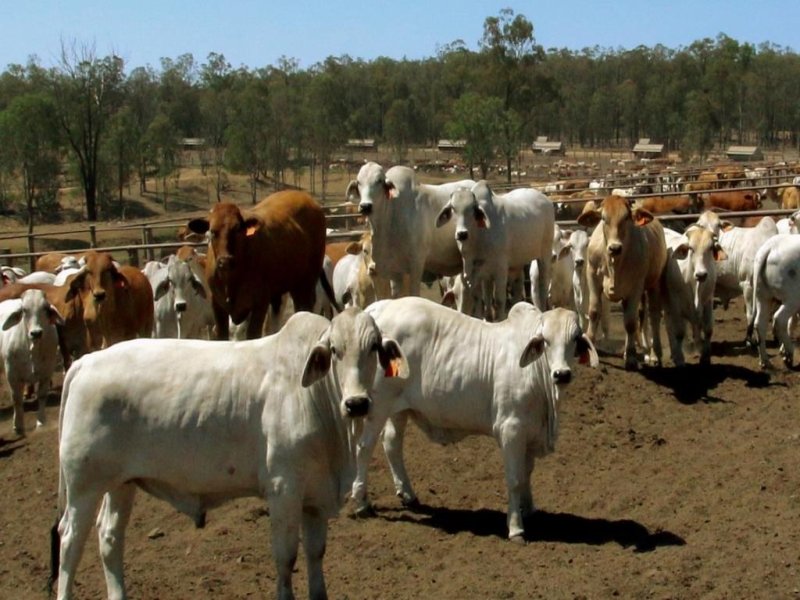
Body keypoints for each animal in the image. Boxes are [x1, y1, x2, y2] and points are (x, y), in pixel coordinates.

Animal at [51, 310, 406, 600]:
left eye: (374, 347)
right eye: (334, 351)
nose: (357, 403)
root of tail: (84, 362)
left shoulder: (316, 497)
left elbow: (315, 554)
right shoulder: (284, 489)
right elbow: (286, 557)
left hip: (120, 484)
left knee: (109, 538)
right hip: (84, 486)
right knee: (69, 541)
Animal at [187, 190, 334, 340]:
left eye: (237, 229)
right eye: (212, 231)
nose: (225, 260)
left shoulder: (260, 303)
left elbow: (253, 334)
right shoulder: (218, 305)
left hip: (304, 284)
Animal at [346, 162, 476, 298]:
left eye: (379, 181)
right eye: (359, 182)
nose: (365, 206)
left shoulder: (416, 265)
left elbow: (414, 293)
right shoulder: (395, 272)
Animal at [354, 298, 596, 540]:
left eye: (576, 338)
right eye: (545, 340)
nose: (562, 374)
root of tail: (379, 309)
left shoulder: (530, 432)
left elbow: (526, 473)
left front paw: (528, 510)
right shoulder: (511, 429)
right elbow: (515, 479)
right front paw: (516, 527)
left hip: (398, 409)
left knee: (392, 444)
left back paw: (407, 494)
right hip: (376, 405)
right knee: (364, 447)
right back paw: (361, 503)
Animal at [580, 195, 684, 368]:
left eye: (626, 218)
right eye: (603, 218)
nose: (615, 248)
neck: (614, 263)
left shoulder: (635, 287)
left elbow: (629, 322)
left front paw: (630, 357)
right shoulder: (592, 276)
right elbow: (594, 312)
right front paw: (589, 351)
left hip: (653, 285)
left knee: (652, 317)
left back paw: (653, 354)